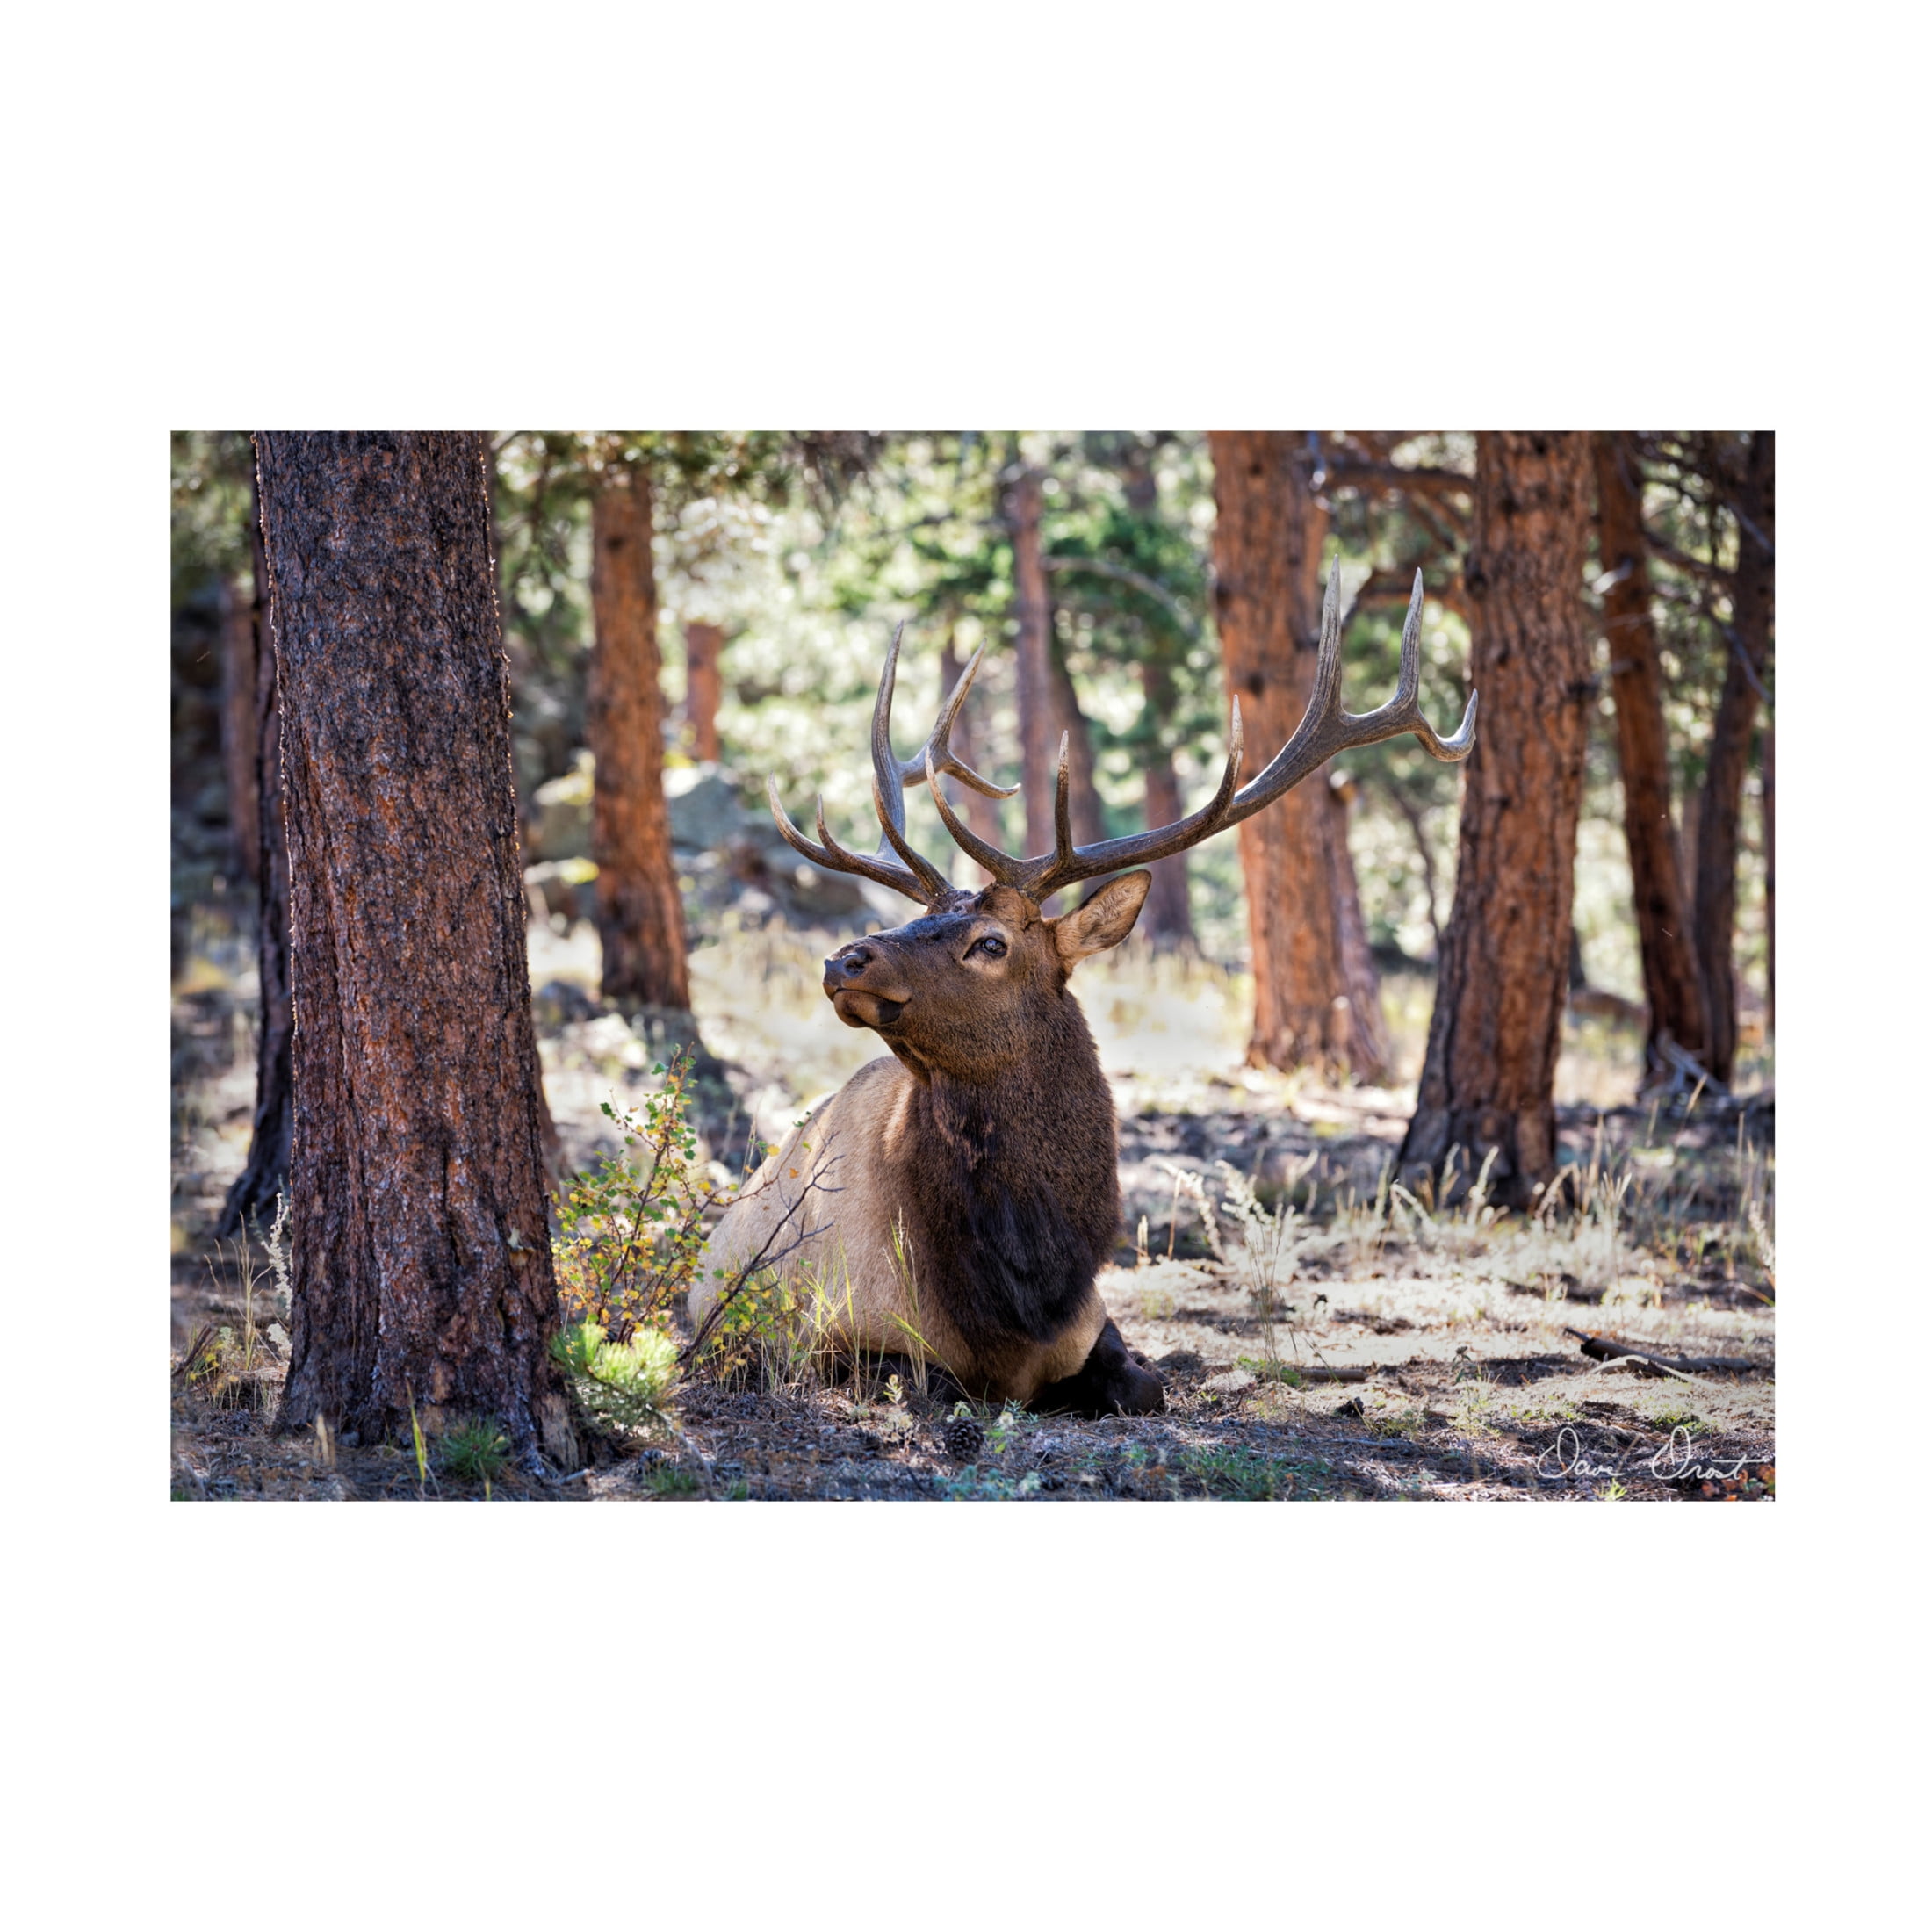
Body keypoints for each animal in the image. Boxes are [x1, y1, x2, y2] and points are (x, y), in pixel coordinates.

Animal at [690, 561, 1476, 1416]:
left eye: (990, 943)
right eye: (918, 920)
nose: (845, 961)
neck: (1023, 1291)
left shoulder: (1097, 1328)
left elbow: (1149, 1384)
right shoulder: (830, 1335)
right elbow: (933, 1381)